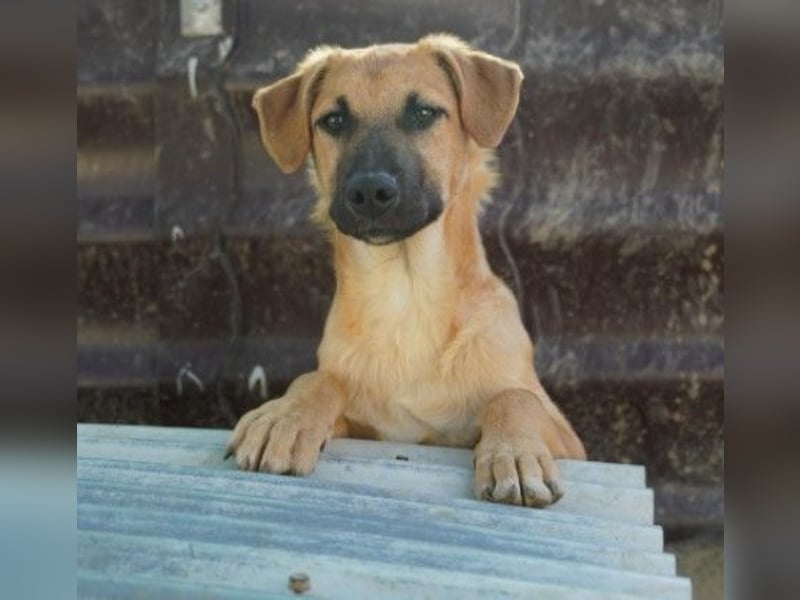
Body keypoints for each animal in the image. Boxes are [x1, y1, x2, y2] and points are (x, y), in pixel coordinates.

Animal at [227, 34, 585, 508]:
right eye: (334, 120)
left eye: (424, 113)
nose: (369, 192)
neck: (406, 297)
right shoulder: (368, 428)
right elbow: (320, 379)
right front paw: (286, 416)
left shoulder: (570, 440)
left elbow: (513, 398)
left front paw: (514, 453)